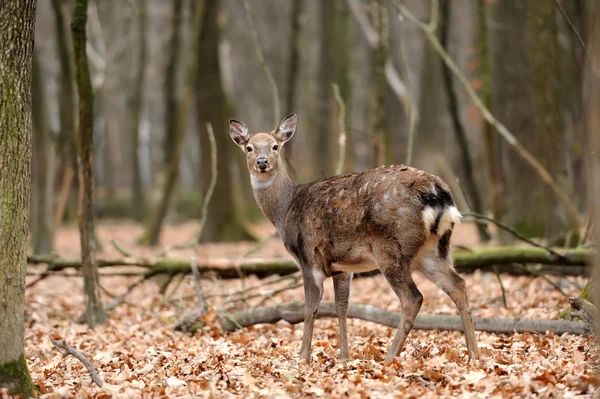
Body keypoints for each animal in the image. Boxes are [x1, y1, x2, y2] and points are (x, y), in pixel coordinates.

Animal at [227, 113, 480, 366]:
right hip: (435, 250)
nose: (262, 162)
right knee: (458, 285)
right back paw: (474, 355)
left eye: (275, 146)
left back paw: (390, 358)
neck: (285, 211)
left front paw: (303, 358)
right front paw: (344, 357)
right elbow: (342, 308)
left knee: (413, 297)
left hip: (390, 247)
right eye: (249, 147)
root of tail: (439, 195)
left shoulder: (308, 258)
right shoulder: (342, 268)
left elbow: (310, 308)